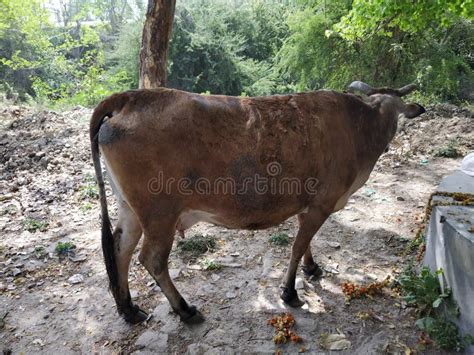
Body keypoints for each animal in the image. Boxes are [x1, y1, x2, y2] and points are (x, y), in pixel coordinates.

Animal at [90, 81, 426, 326]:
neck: (358, 127)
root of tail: (131, 97)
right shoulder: (322, 203)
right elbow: (297, 246)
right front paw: (290, 292)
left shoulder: (307, 204)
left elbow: (305, 244)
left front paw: (312, 268)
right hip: (160, 213)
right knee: (152, 259)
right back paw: (185, 310)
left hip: (131, 209)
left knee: (120, 249)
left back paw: (129, 309)